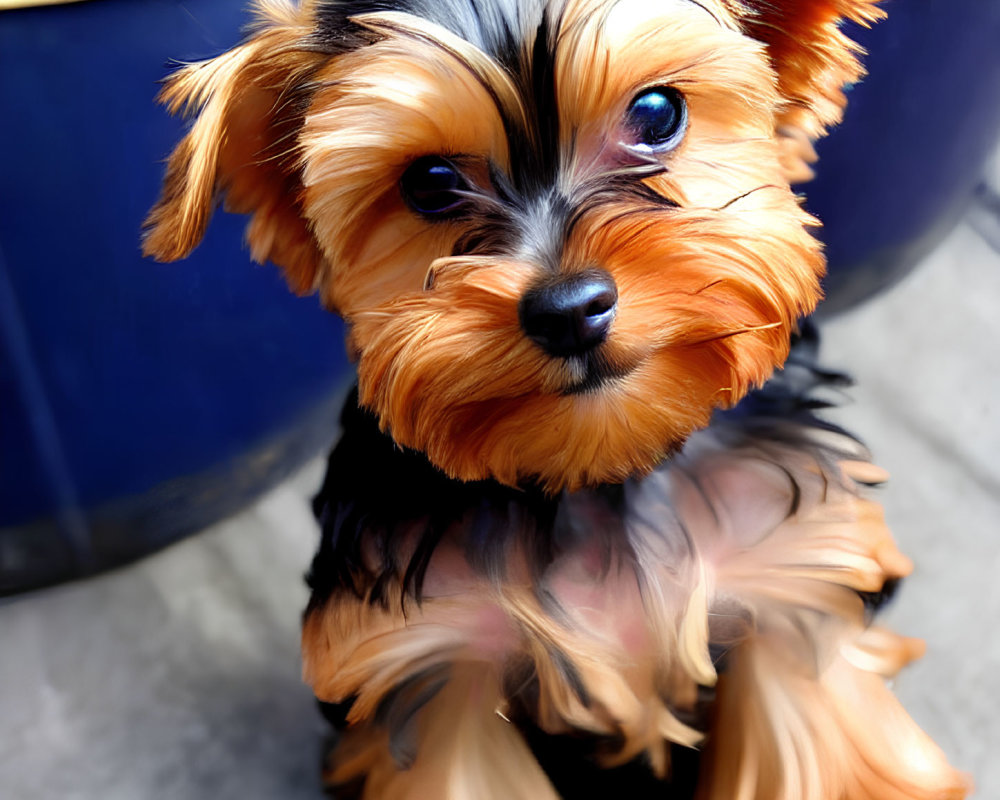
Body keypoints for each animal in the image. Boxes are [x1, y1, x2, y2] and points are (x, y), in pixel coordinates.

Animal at [146, 0, 968, 796]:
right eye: (429, 183)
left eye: (658, 113)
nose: (569, 309)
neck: (605, 471)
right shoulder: (435, 656)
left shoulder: (794, 578)